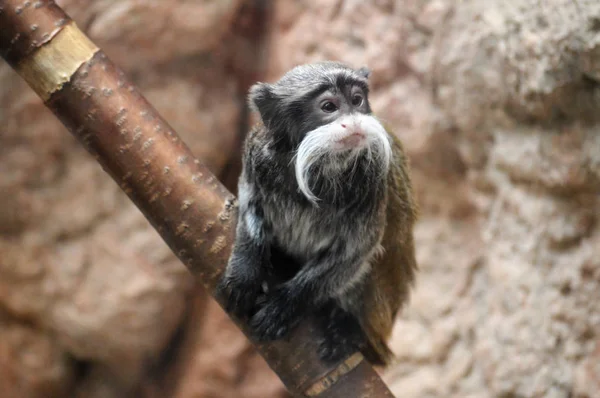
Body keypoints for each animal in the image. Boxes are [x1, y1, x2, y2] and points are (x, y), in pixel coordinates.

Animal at [216, 60, 418, 366]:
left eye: (356, 100)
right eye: (329, 106)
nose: (353, 121)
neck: (322, 166)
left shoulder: (374, 178)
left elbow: (357, 249)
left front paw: (284, 306)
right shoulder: (256, 156)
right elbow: (250, 203)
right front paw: (245, 271)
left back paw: (350, 328)